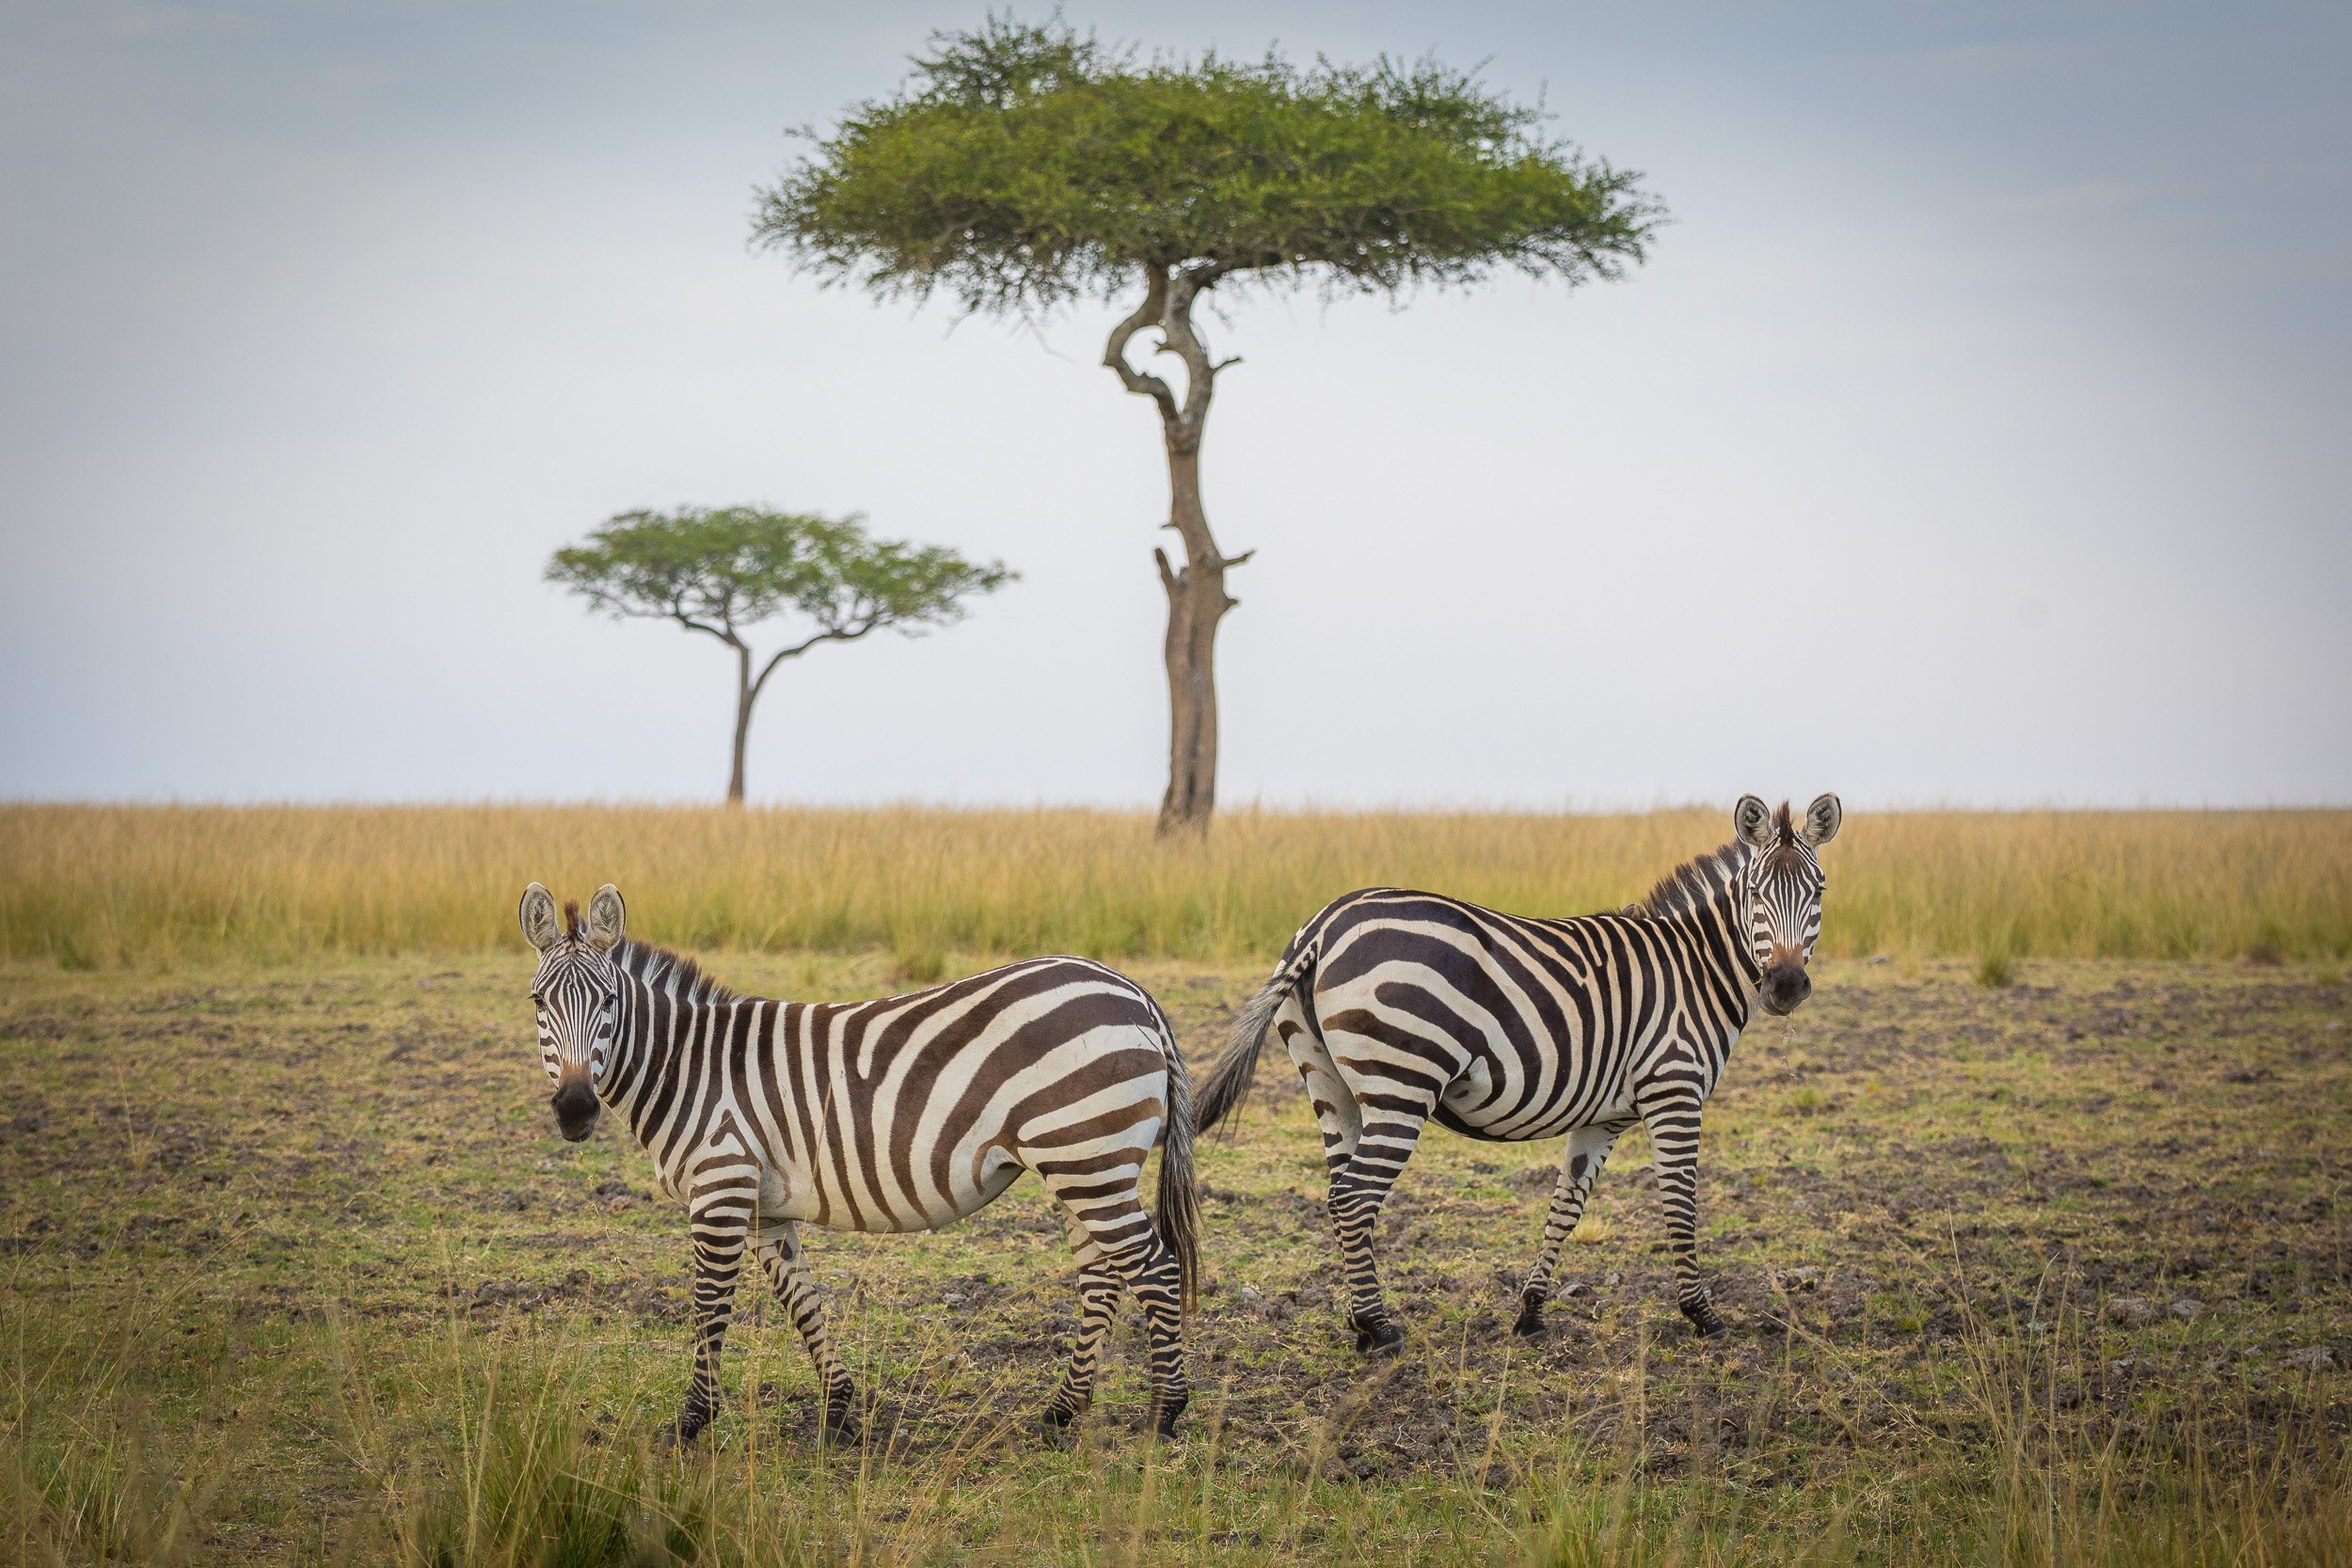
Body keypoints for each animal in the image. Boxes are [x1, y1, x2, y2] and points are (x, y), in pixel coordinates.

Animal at [518, 883, 1201, 1442]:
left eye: (609, 999)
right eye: (537, 1002)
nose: (575, 1109)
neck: (689, 1066)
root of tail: (1133, 991)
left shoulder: (721, 1185)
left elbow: (710, 1306)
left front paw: (691, 1421)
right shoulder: (764, 1206)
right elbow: (801, 1300)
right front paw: (839, 1408)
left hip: (1088, 1157)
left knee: (1155, 1268)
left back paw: (1165, 1413)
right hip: (1082, 1163)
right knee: (1102, 1277)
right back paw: (1062, 1411)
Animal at [1193, 794, 1840, 1351]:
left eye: (1819, 890)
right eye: (1755, 892)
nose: (1786, 986)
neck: (1696, 966)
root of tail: (1323, 924)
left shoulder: (1604, 1117)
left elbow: (1566, 1206)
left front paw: (1530, 1312)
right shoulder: (1674, 1091)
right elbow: (1680, 1203)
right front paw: (1703, 1316)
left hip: (1330, 1085)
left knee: (1338, 1194)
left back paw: (1359, 1321)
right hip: (1401, 1085)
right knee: (1354, 1198)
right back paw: (1380, 1330)